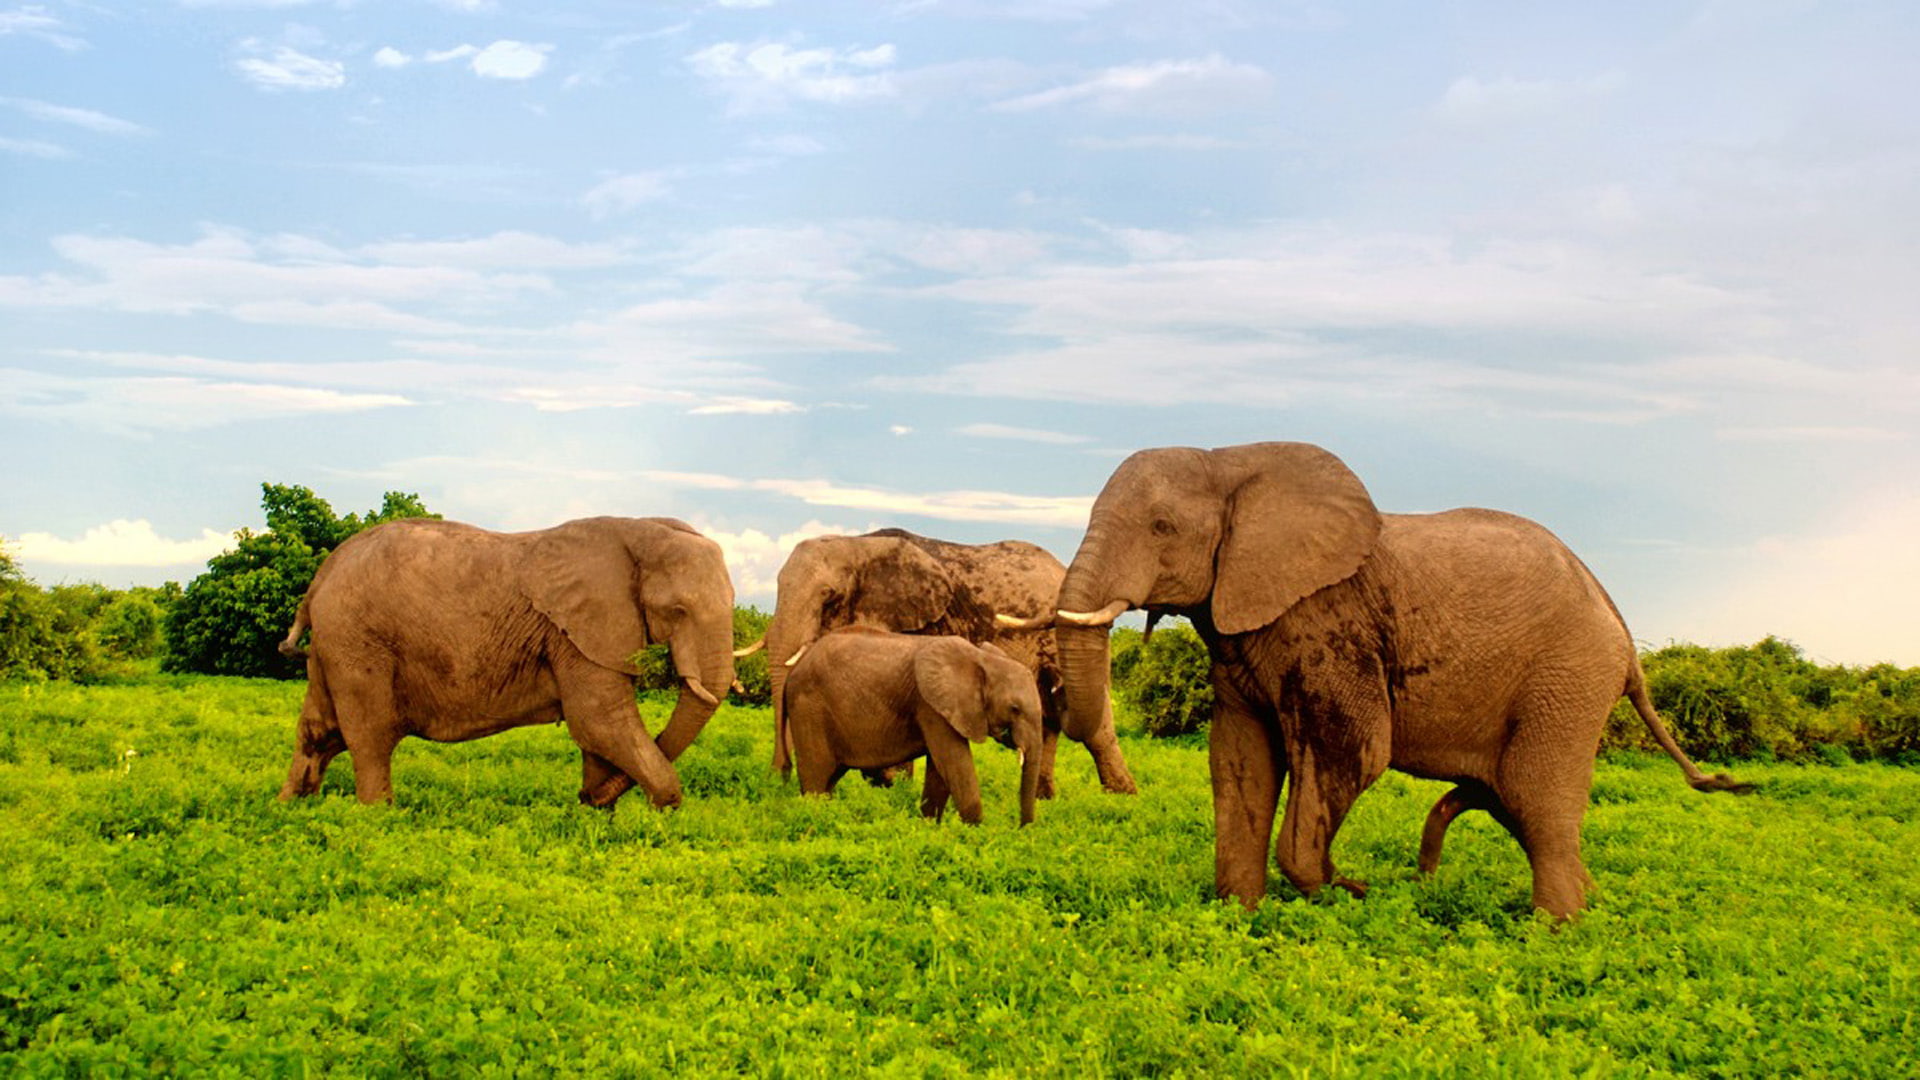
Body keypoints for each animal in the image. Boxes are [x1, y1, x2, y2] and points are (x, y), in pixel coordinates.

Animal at [276, 516, 736, 808]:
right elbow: (599, 721)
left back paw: (290, 806)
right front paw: (661, 811)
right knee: (369, 736)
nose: (583, 800)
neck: (641, 530)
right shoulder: (574, 631)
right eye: (677, 610)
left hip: (333, 646)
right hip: (357, 642)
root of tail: (320, 577)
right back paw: (377, 816)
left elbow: (598, 732)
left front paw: (596, 817)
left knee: (318, 730)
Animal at [761, 528, 1136, 798]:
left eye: (828, 595)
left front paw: (892, 785)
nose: (780, 776)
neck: (856, 543)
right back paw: (1044, 797)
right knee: (1047, 721)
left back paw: (1122, 797)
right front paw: (885, 783)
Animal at [782, 628, 1043, 826]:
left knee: (829, 778)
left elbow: (939, 772)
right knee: (816, 776)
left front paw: (929, 827)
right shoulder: (931, 706)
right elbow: (954, 764)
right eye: (1014, 708)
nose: (1021, 829)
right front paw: (975, 833)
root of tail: (793, 671)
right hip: (808, 708)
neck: (979, 658)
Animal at [1046, 442, 1748, 919]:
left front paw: (1346, 889)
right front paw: (1240, 916)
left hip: (1570, 675)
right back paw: (1587, 903)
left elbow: (1353, 749)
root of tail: (1622, 632)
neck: (1229, 461)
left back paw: (1556, 930)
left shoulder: (1328, 622)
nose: (1380, 884)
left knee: (1536, 799)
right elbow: (1240, 762)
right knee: (1516, 804)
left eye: (1162, 527)